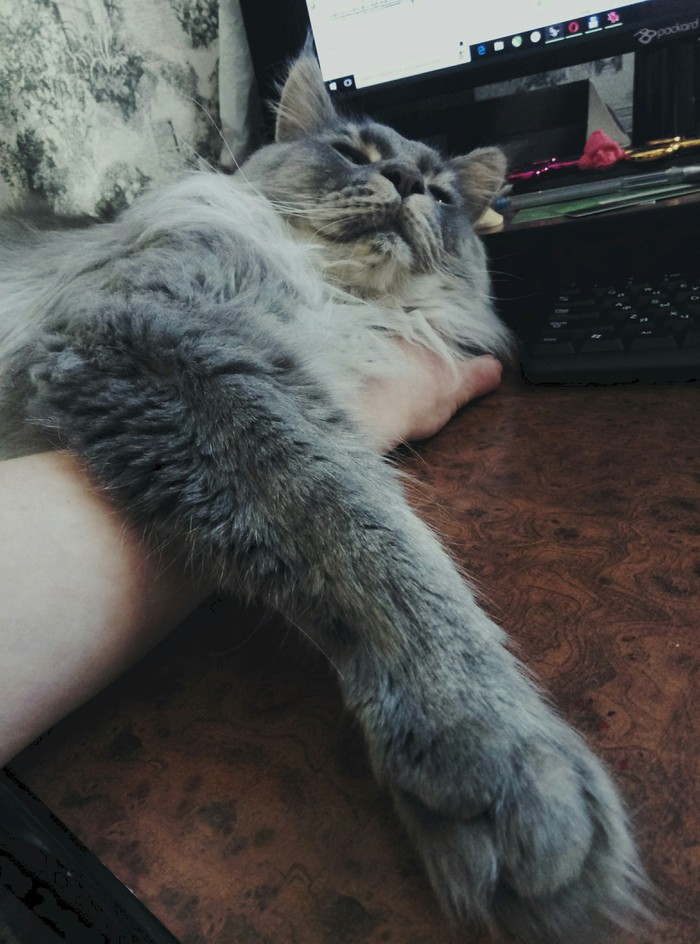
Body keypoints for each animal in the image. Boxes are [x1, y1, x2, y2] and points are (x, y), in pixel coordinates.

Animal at [0, 51, 648, 943]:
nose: (405, 179)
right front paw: (501, 754)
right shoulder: (160, 339)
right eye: (356, 152)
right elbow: (368, 535)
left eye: (440, 192)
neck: (333, 296)